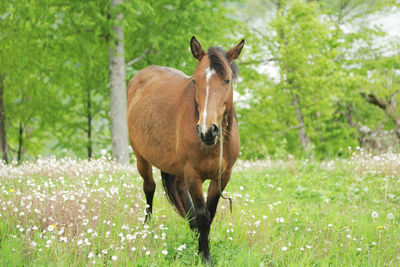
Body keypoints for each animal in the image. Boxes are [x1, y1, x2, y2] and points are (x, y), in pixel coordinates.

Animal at [126, 36, 244, 264]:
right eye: (195, 81)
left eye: (227, 81)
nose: (207, 131)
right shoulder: (193, 175)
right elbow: (203, 215)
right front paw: (205, 257)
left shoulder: (223, 176)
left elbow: (209, 213)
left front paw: (200, 250)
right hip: (141, 158)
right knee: (149, 188)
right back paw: (147, 229)